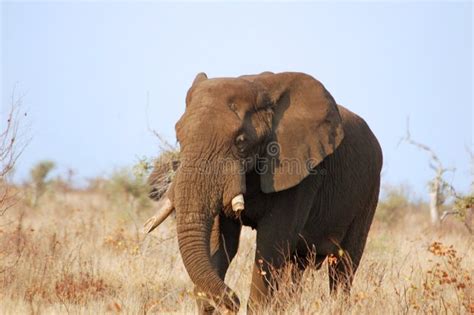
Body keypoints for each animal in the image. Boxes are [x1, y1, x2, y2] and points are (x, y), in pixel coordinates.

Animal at [144, 71, 382, 314]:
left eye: (240, 141)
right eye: (178, 138)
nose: (233, 300)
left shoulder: (300, 174)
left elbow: (270, 245)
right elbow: (221, 242)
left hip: (370, 190)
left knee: (344, 265)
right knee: (298, 265)